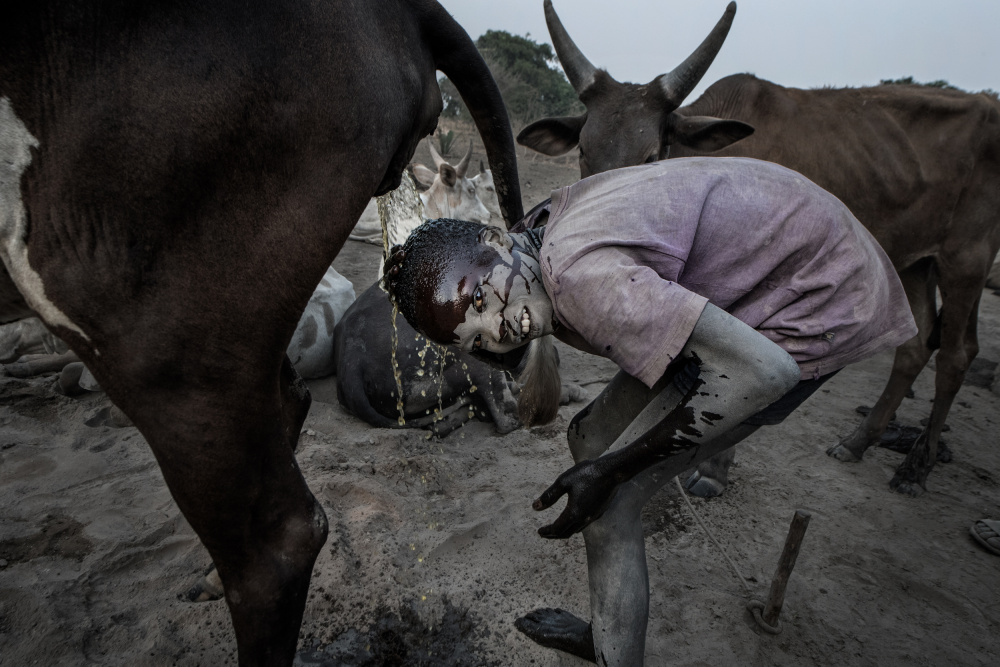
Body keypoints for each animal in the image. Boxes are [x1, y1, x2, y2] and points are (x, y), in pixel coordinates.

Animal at [516, 0, 1000, 498]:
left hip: (967, 259)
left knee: (957, 355)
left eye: (650, 156)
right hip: (918, 264)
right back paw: (859, 442)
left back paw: (915, 467)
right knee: (916, 347)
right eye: (583, 151)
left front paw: (712, 471)